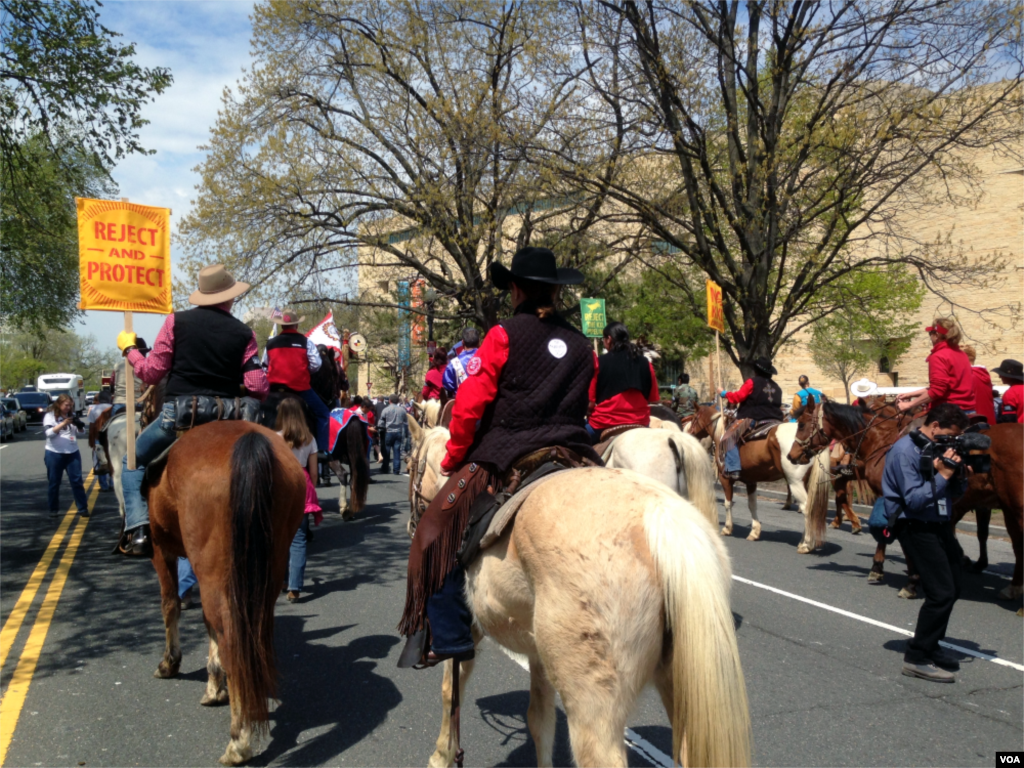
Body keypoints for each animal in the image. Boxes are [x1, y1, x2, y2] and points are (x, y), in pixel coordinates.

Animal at [143, 423, 303, 765]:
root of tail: (248, 441)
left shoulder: (160, 550)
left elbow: (170, 604)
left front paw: (170, 663)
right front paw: (215, 686)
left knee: (231, 639)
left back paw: (238, 742)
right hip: (266, 570)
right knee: (249, 635)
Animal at [405, 417, 753, 768]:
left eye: (410, 465)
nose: (411, 523)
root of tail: (667, 522)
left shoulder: (469, 630)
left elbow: (451, 688)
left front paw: (441, 755)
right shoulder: (538, 654)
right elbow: (540, 720)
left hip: (593, 709)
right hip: (681, 690)